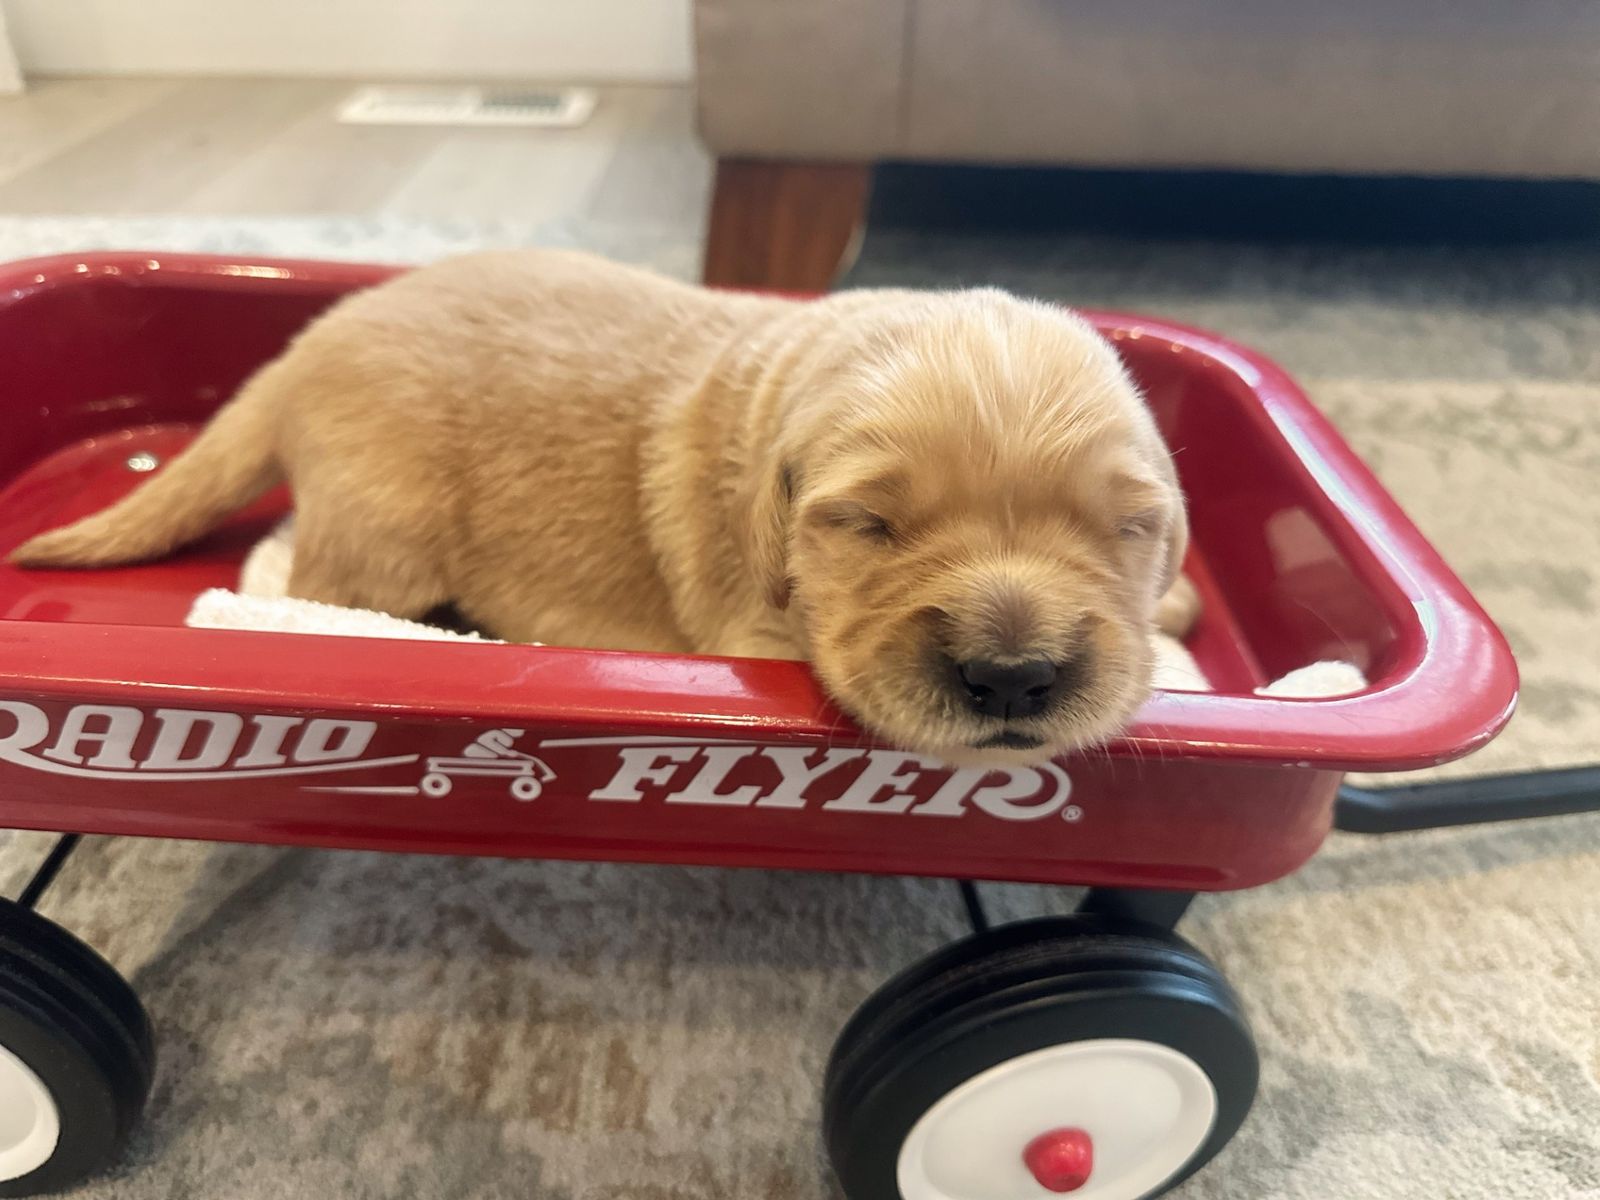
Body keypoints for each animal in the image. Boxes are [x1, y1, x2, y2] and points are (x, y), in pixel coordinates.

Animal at [10, 250, 1190, 766]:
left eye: (1125, 529)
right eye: (869, 526)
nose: (1013, 675)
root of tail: (301, 349)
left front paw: (1173, 614)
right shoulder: (752, 630)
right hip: (384, 531)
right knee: (314, 578)